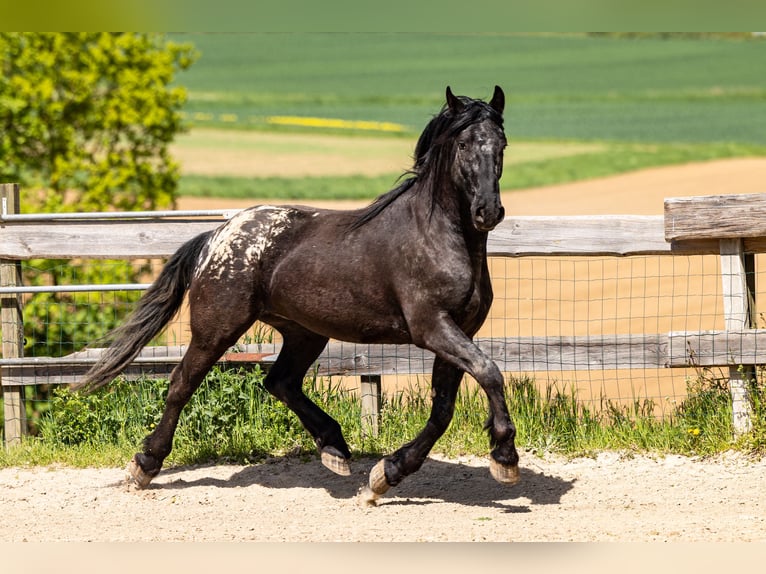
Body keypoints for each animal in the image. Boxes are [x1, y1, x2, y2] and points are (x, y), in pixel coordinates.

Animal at [76, 85, 520, 505]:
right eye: (463, 145)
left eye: (501, 144)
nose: (488, 212)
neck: (436, 237)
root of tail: (216, 237)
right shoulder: (432, 327)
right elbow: (489, 372)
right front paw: (504, 456)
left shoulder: (459, 331)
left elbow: (443, 409)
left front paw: (385, 475)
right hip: (217, 328)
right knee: (182, 383)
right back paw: (144, 465)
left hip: (304, 331)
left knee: (280, 381)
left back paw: (335, 449)